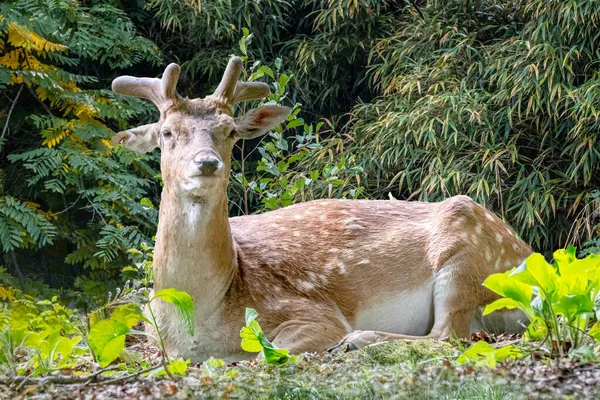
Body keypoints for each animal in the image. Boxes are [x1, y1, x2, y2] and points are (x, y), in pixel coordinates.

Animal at [111, 57, 536, 362]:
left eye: (230, 131)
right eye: (167, 132)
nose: (207, 163)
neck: (197, 319)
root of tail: (526, 252)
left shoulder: (313, 313)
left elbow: (269, 351)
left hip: (468, 256)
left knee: (450, 335)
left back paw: (359, 339)